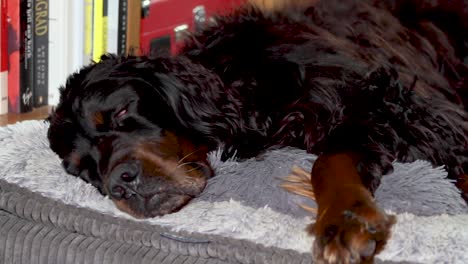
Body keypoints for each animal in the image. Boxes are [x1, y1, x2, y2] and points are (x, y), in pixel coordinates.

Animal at [46, 1, 464, 262]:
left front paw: (344, 223)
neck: (246, 79)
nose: (122, 185)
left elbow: (327, 161)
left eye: (120, 112)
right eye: (86, 171)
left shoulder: (406, 106)